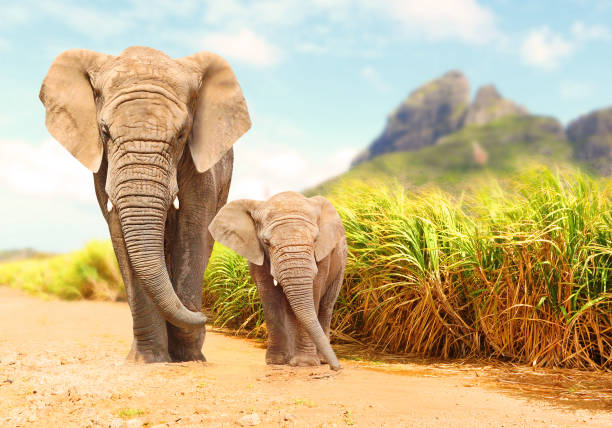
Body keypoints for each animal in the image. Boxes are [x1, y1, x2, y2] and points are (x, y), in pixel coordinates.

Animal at [39, 46, 250, 362]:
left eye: (182, 134)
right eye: (104, 132)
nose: (207, 317)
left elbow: (193, 227)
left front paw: (188, 355)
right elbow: (119, 231)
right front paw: (148, 360)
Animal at [209, 192, 344, 370]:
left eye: (315, 240)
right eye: (266, 242)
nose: (337, 368)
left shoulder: (323, 256)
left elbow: (314, 293)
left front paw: (304, 364)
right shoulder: (257, 254)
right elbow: (270, 297)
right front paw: (276, 362)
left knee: (326, 305)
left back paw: (321, 360)